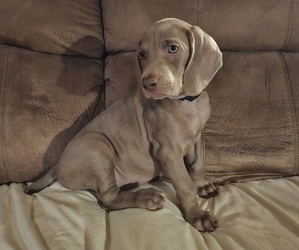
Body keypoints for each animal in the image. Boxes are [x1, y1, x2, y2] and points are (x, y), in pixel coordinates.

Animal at [25, 18, 223, 232]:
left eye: (173, 48)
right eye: (142, 54)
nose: (147, 84)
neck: (187, 102)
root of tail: (58, 165)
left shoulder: (196, 137)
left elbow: (197, 164)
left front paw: (202, 184)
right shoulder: (168, 151)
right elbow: (184, 184)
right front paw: (197, 215)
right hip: (97, 147)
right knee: (107, 198)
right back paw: (146, 196)